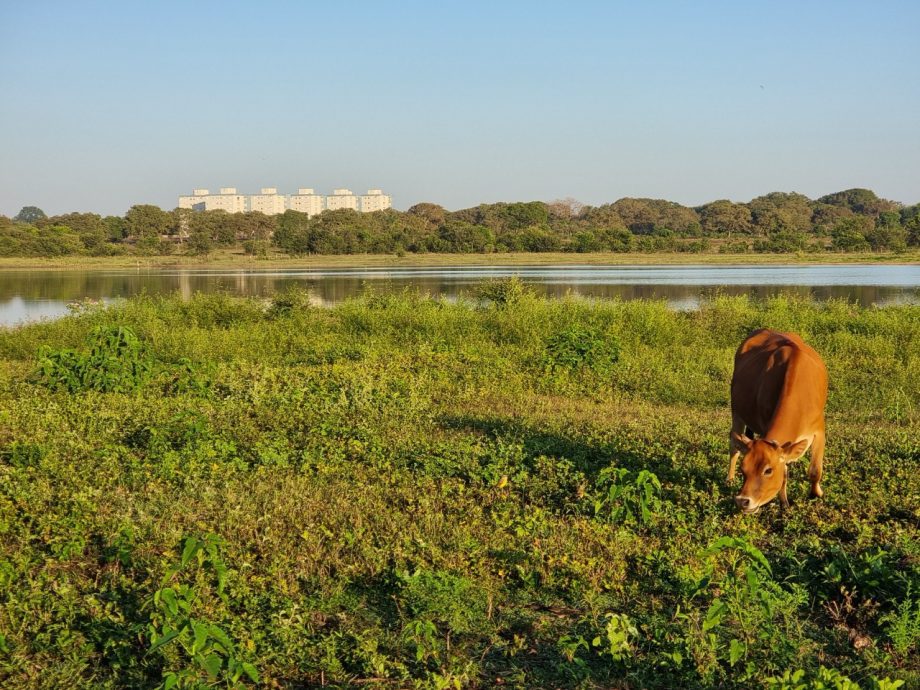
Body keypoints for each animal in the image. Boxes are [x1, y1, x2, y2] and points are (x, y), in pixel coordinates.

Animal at [728, 328, 832, 510]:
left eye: (768, 470)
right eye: (744, 468)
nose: (742, 500)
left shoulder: (819, 428)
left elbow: (815, 470)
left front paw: (815, 494)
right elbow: (784, 472)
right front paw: (784, 503)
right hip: (736, 410)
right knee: (734, 446)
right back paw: (729, 479)